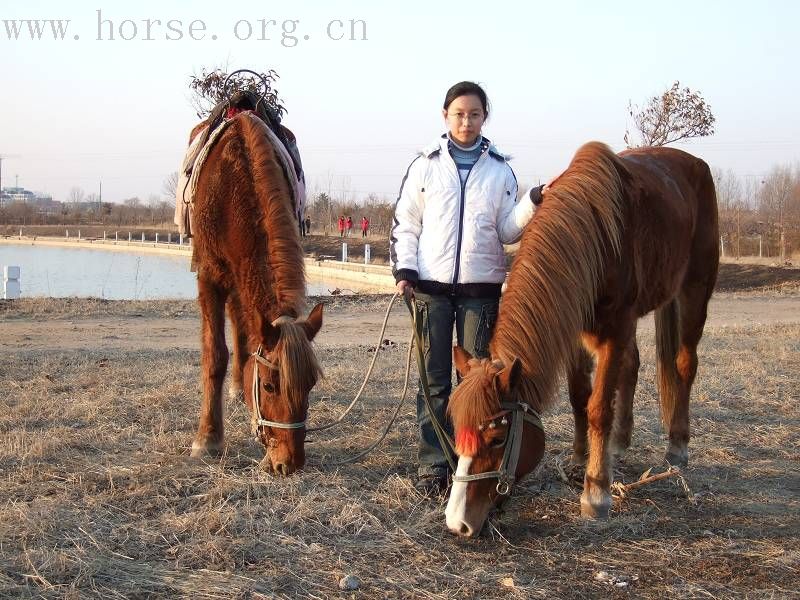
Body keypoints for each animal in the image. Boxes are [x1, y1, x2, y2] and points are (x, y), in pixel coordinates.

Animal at [187, 110, 322, 474]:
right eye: (269, 385)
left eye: (311, 385)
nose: (290, 463)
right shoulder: (209, 277)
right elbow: (215, 355)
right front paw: (208, 438)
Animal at [444, 143, 720, 536]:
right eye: (457, 432)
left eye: (497, 439)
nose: (457, 523)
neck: (594, 235)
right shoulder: (574, 328)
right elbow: (578, 397)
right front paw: (579, 460)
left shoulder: (615, 329)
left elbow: (598, 408)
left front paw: (596, 491)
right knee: (632, 366)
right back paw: (618, 445)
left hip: (695, 290)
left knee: (684, 363)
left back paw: (677, 448)